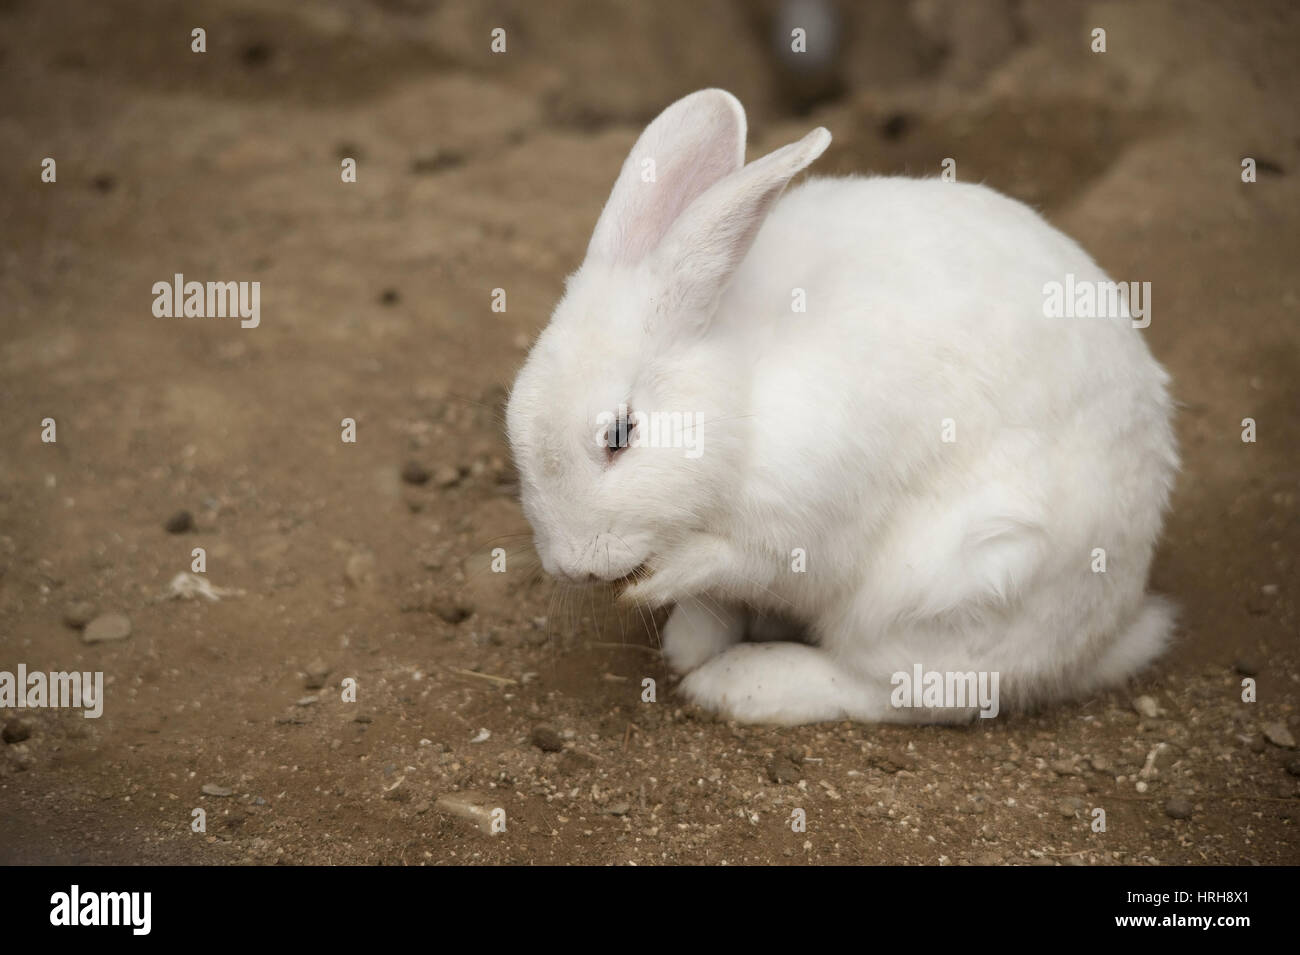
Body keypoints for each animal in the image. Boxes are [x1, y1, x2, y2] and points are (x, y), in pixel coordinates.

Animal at [506, 89, 1180, 727]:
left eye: (621, 435)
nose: (572, 566)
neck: (740, 395)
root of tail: (1109, 630)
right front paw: (687, 640)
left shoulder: (797, 523)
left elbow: (723, 562)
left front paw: (664, 600)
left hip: (953, 588)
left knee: (905, 690)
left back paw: (742, 685)